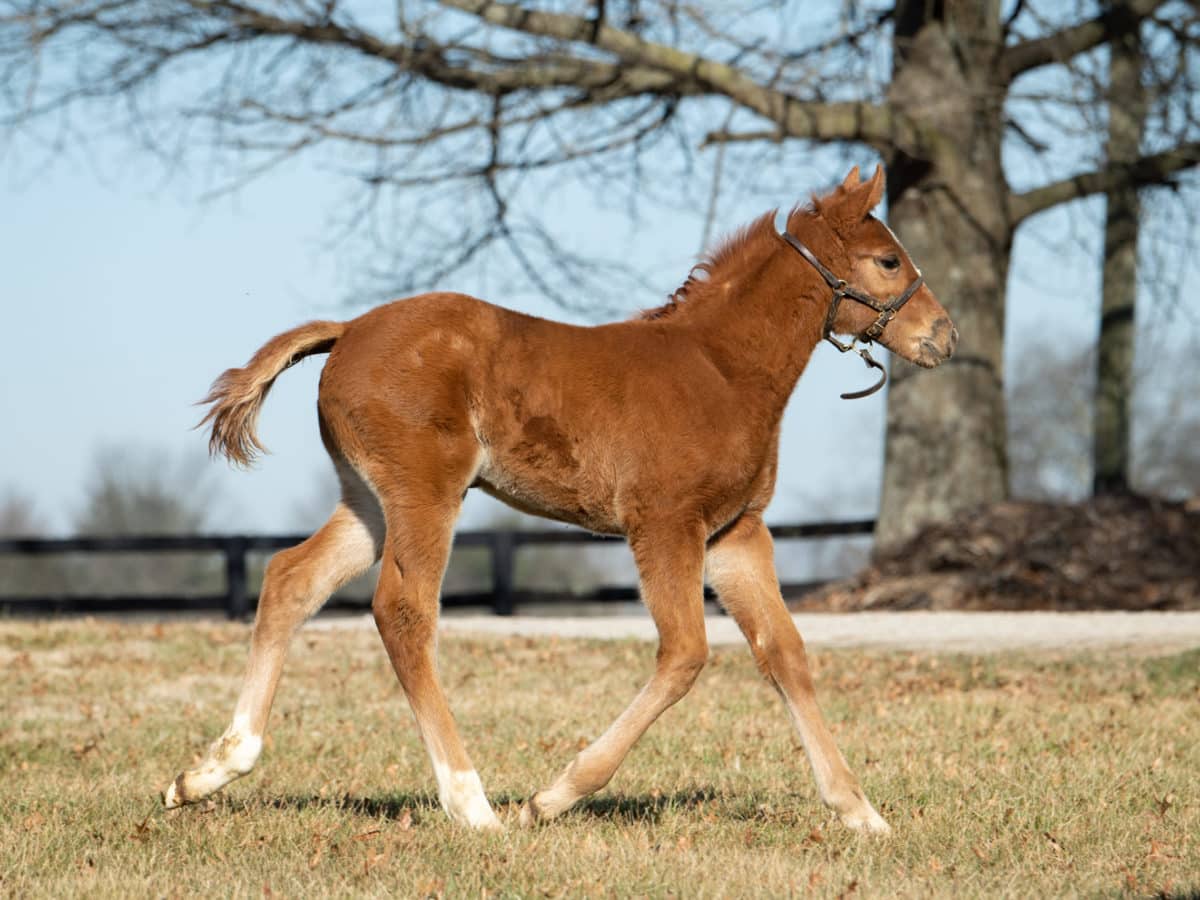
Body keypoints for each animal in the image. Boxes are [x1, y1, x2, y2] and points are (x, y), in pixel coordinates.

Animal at [166, 165, 955, 835]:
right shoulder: (664, 525)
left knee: (290, 579)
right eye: (888, 261)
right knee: (403, 611)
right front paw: (553, 797)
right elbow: (686, 653)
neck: (722, 370)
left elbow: (784, 652)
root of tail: (350, 330)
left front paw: (861, 813)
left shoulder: (737, 533)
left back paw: (209, 771)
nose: (943, 337)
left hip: (368, 499)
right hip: (427, 492)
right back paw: (473, 804)